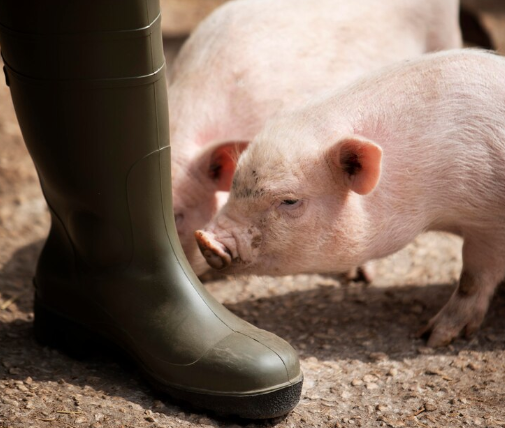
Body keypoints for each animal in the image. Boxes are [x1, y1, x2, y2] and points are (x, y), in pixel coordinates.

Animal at [198, 49, 505, 348]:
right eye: (234, 184)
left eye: (289, 201)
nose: (205, 239)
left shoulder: (489, 225)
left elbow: (472, 278)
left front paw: (432, 338)